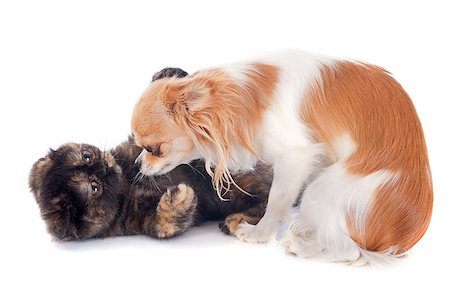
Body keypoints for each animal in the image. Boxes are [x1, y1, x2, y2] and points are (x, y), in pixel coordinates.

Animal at [130, 50, 432, 264]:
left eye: (153, 149)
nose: (137, 163)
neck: (249, 98)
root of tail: (400, 240)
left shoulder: (296, 155)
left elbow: (276, 199)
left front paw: (259, 233)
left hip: (324, 189)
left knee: (350, 251)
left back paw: (300, 246)